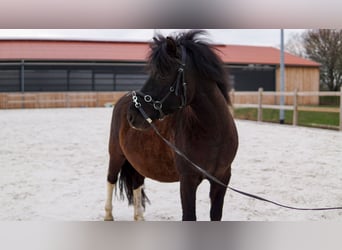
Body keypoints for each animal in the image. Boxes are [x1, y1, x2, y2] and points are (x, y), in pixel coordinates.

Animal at [104, 29, 238, 221]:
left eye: (162, 74)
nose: (132, 115)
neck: (214, 135)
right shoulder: (188, 180)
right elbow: (189, 216)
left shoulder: (222, 179)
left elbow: (215, 215)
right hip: (116, 154)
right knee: (111, 179)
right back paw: (108, 215)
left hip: (137, 160)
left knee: (137, 182)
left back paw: (139, 217)